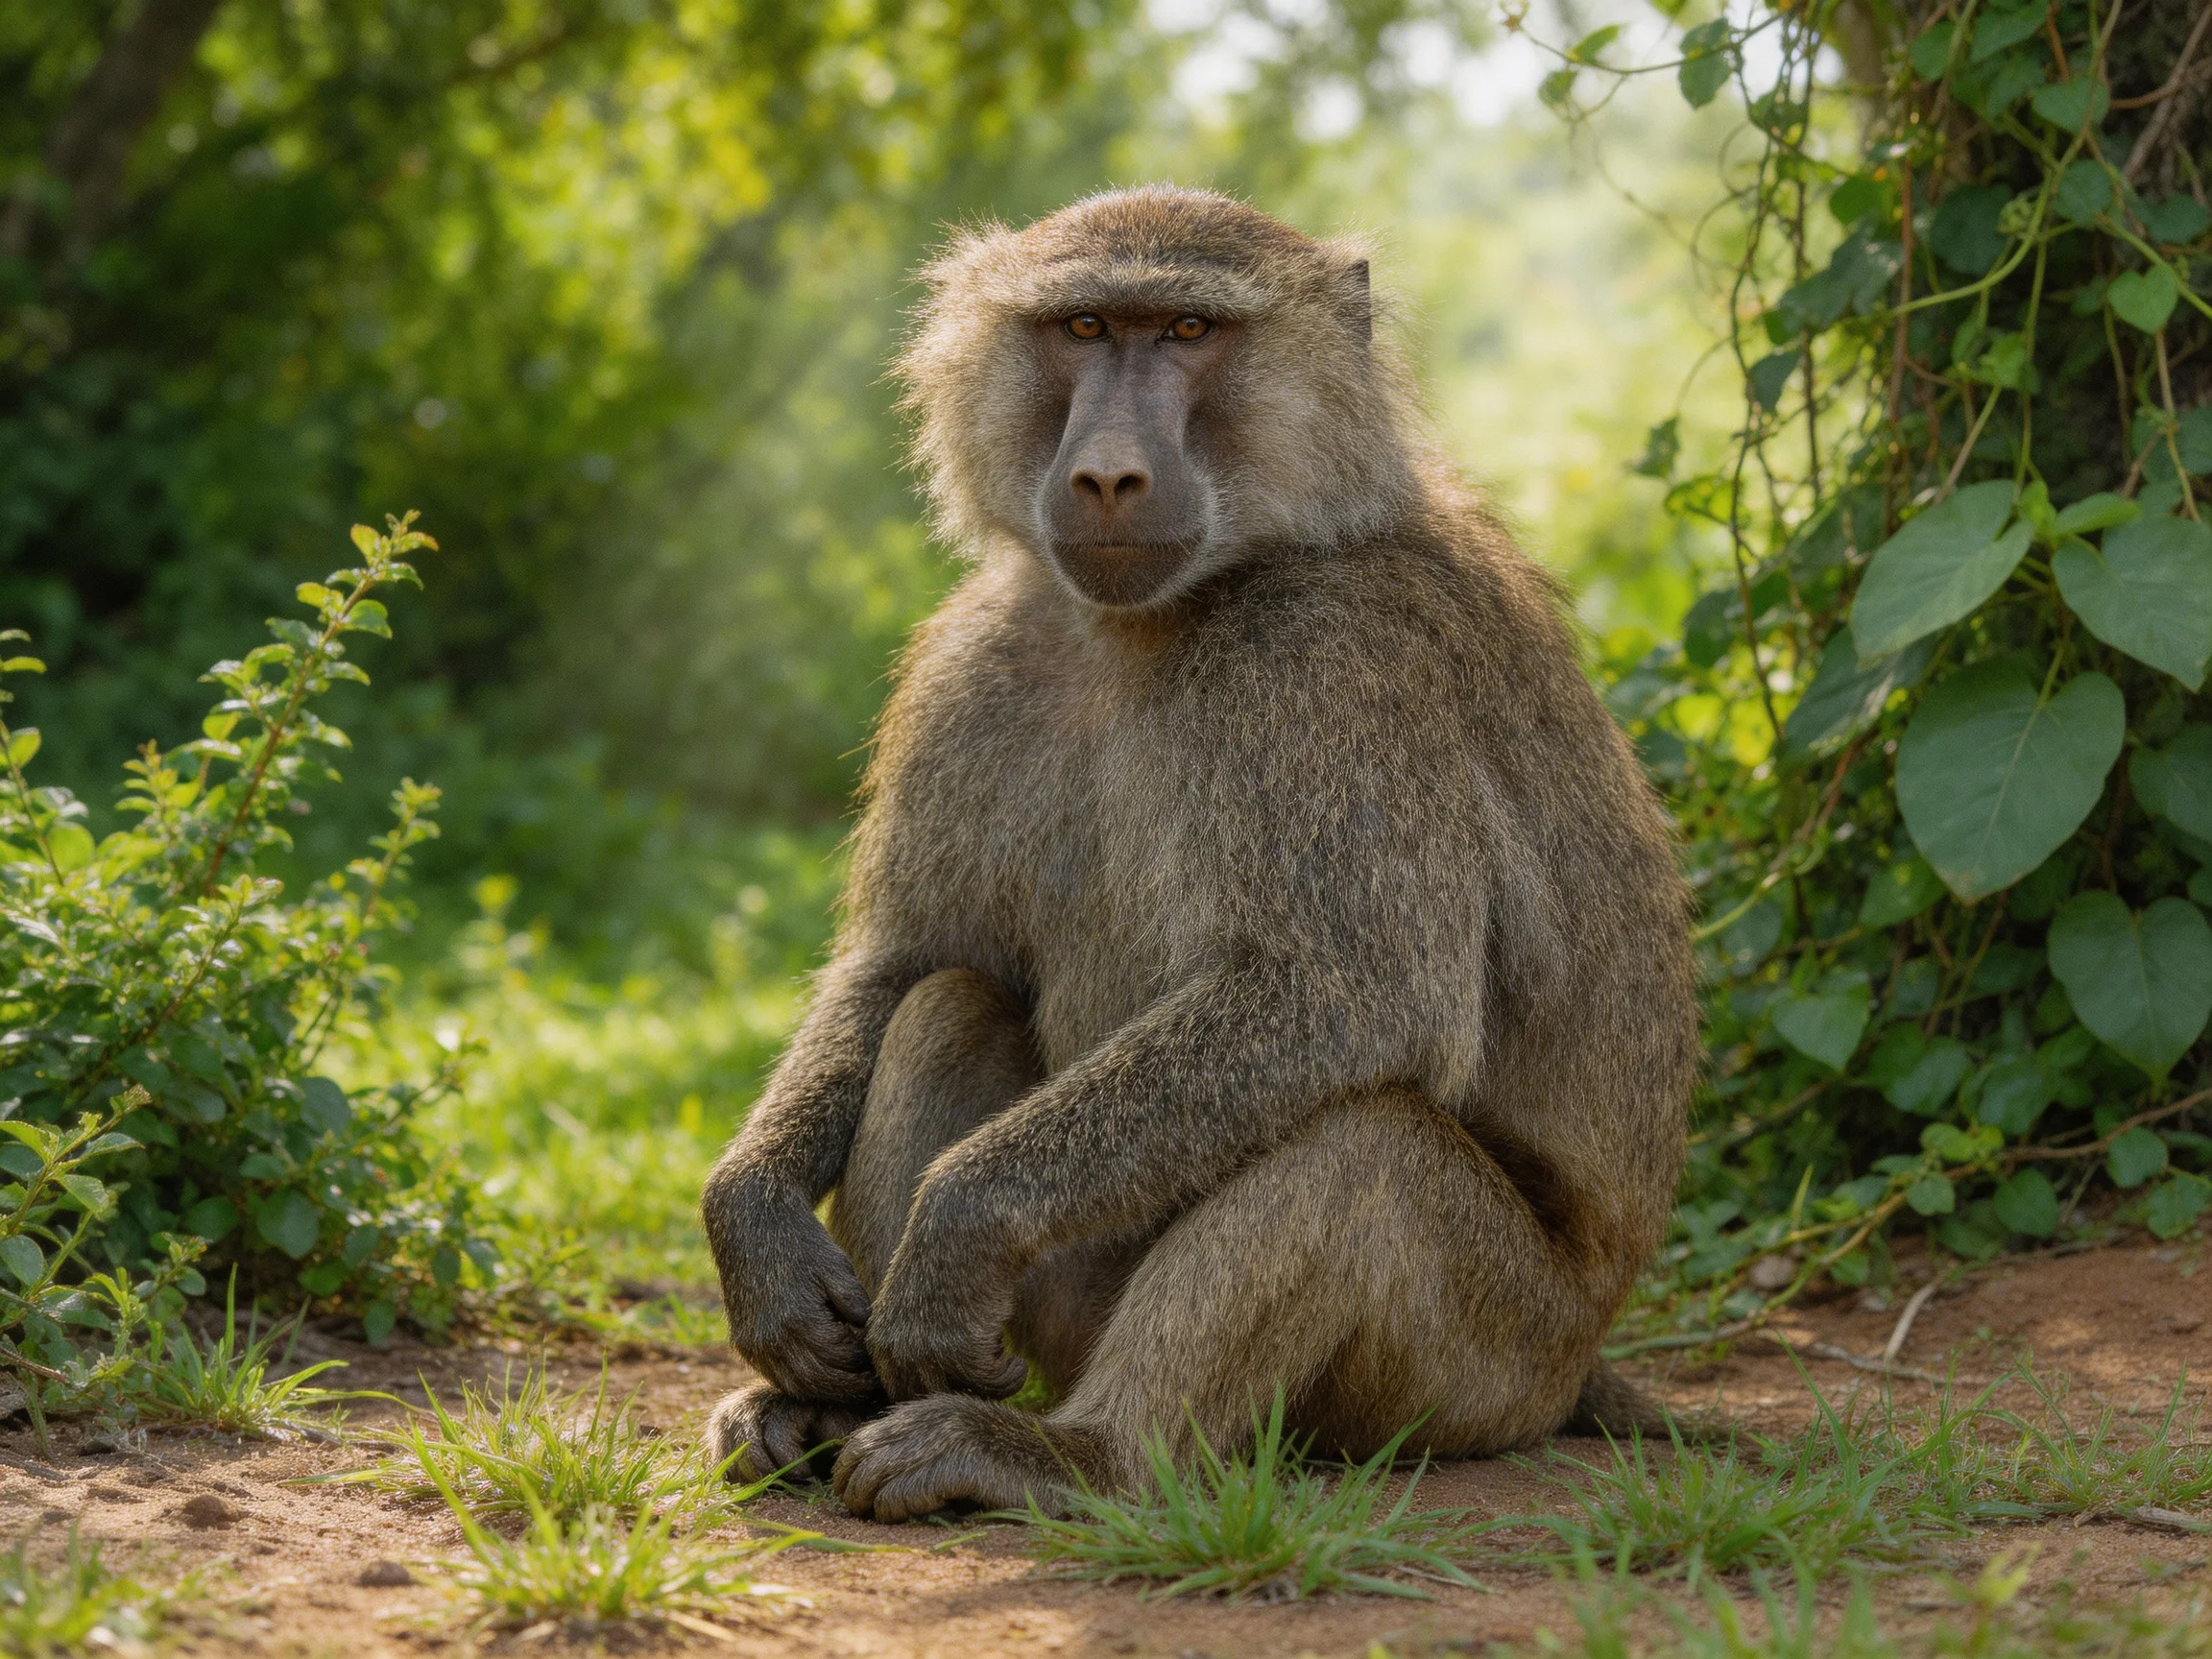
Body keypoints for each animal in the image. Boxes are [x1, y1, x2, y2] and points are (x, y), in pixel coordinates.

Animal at [700, 185, 1699, 1522]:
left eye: (1186, 329)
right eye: (1082, 326)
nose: (1109, 475)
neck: (1158, 617)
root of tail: (1585, 1356)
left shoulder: (1327, 667)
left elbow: (1349, 995)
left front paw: (961, 1220)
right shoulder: (975, 654)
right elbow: (905, 957)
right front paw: (754, 1223)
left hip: (1492, 1360)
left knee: (1363, 1146)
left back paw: (1081, 1457)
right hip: (1062, 1309)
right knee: (946, 1006)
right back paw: (839, 1413)